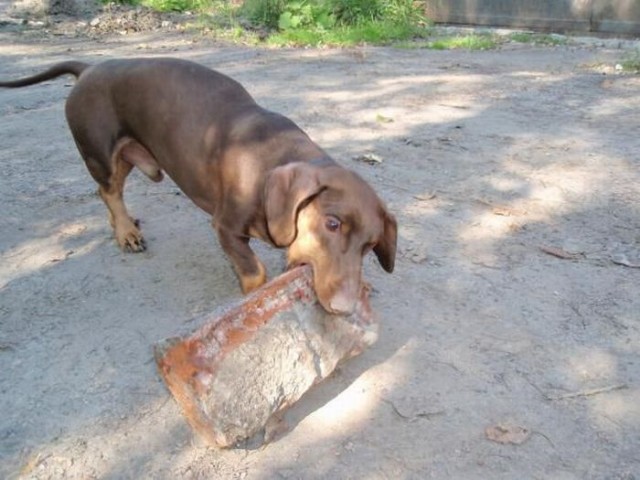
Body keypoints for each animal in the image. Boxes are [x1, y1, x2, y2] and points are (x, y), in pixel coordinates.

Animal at [0, 58, 398, 314]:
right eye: (332, 223)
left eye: (370, 246)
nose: (345, 308)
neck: (272, 160)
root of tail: (89, 69)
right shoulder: (226, 227)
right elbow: (255, 270)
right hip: (101, 154)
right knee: (108, 191)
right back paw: (127, 232)